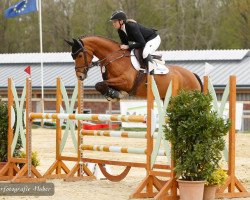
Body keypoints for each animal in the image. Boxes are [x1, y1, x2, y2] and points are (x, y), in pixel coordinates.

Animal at [65, 35, 202, 100]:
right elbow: (101, 85)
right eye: (73, 56)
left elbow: (99, 84)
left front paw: (117, 95)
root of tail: (193, 75)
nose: (80, 76)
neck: (115, 58)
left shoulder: (126, 81)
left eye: (80, 55)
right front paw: (114, 94)